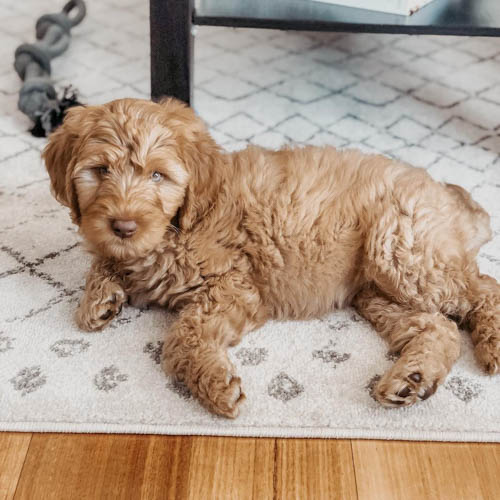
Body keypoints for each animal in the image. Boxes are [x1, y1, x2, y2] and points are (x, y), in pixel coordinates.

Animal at [44, 97, 500, 418]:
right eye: (100, 171)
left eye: (158, 175)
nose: (123, 226)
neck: (183, 223)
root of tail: (452, 198)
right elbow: (102, 260)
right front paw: (97, 298)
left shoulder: (234, 286)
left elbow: (181, 337)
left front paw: (214, 384)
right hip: (378, 292)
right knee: (439, 326)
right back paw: (412, 380)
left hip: (401, 251)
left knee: (484, 290)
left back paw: (488, 346)